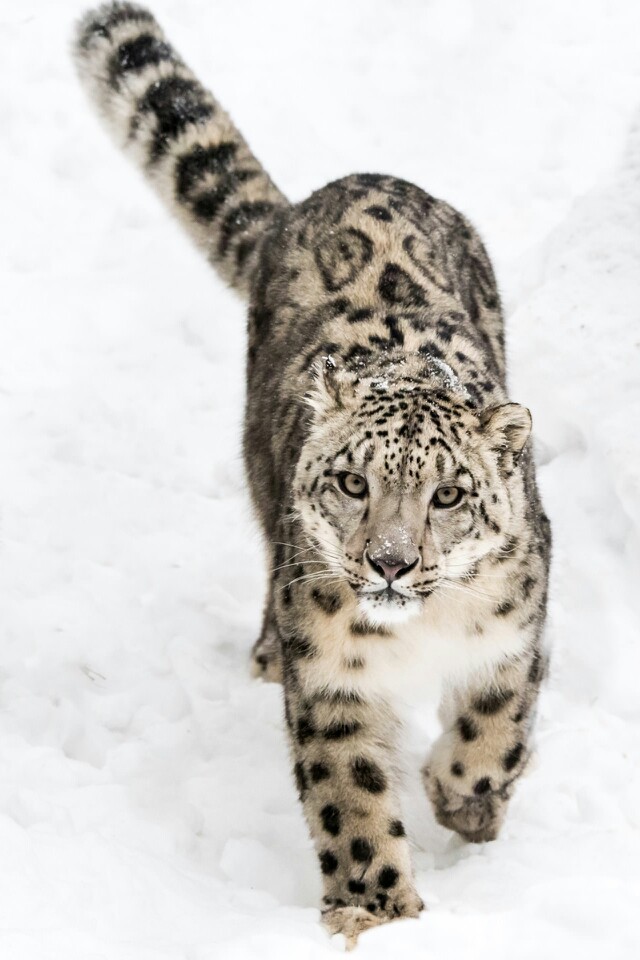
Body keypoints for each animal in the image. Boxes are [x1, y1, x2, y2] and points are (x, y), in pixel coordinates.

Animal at [76, 1, 552, 944]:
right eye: (353, 483)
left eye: (449, 493)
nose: (391, 562)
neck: (422, 631)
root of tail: (338, 186)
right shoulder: (332, 676)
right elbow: (351, 797)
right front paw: (378, 909)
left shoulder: (518, 628)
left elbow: (497, 727)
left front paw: (463, 801)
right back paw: (264, 649)